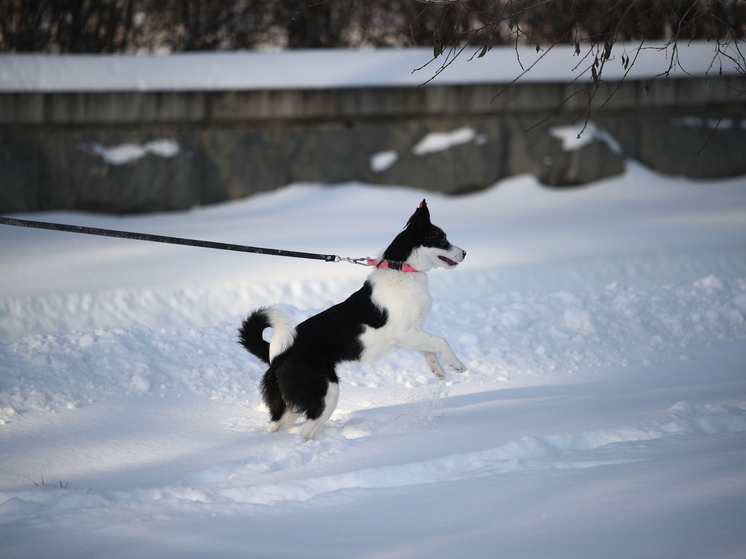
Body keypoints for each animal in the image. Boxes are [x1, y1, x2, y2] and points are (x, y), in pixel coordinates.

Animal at [238, 199, 464, 440]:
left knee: (278, 426)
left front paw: (438, 370)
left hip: (292, 403)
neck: (402, 270)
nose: (465, 253)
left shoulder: (411, 334)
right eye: (441, 238)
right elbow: (441, 341)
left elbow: (429, 350)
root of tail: (278, 353)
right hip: (326, 392)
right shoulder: (403, 333)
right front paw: (458, 364)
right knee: (306, 431)